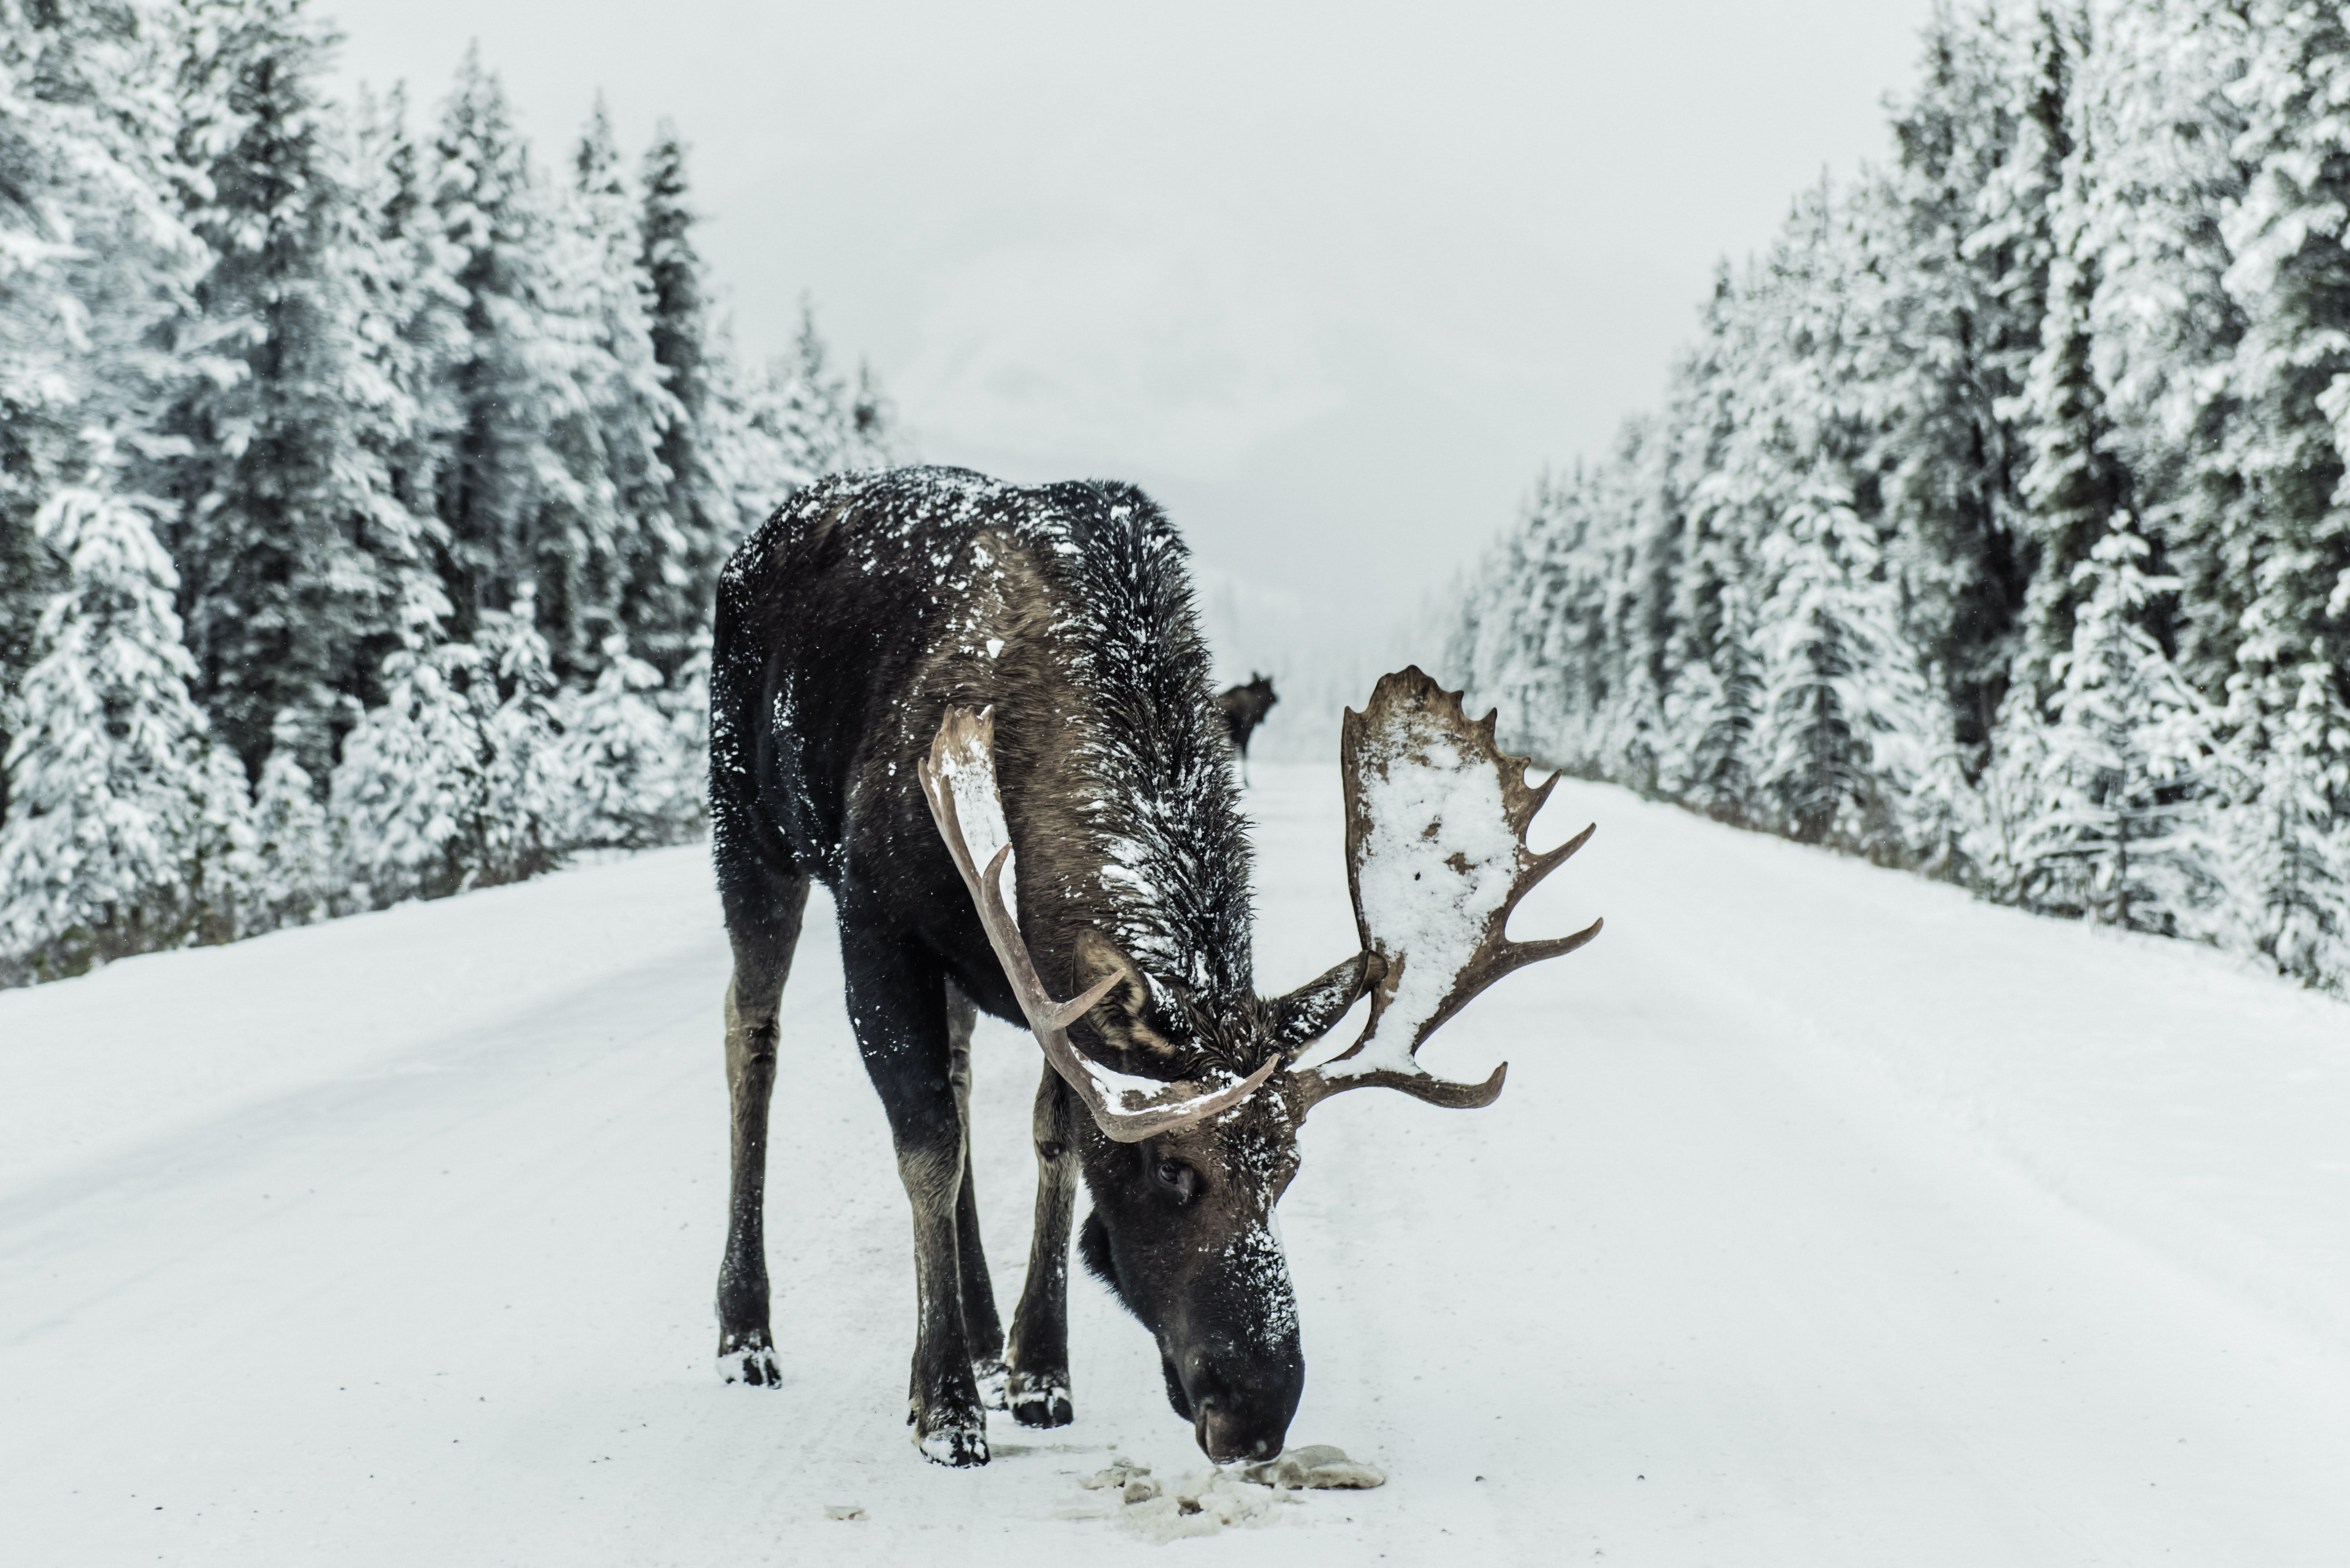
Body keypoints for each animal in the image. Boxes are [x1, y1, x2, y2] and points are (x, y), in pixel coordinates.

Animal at [1222, 672, 1278, 780]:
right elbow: (1241, 756)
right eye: (1269, 687)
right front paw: (1246, 781)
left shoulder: (1235, 736)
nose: (1276, 698)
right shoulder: (1244, 733)